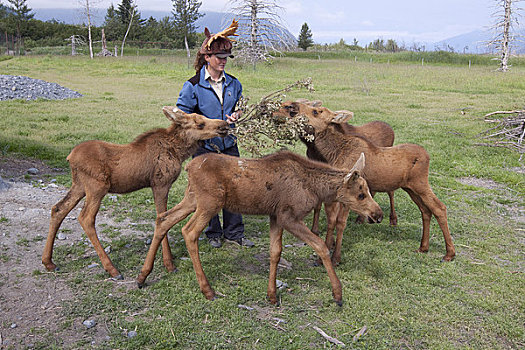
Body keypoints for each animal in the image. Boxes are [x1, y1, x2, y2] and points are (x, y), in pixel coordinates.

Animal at [42, 105, 228, 278]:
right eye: (200, 123)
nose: (224, 125)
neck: (178, 152)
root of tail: (70, 157)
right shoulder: (160, 184)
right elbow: (162, 218)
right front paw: (169, 264)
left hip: (79, 186)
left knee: (58, 208)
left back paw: (48, 262)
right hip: (96, 187)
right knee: (85, 218)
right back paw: (112, 269)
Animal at [135, 150, 380, 306]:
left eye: (367, 190)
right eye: (361, 194)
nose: (377, 214)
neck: (315, 188)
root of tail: (188, 167)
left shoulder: (275, 216)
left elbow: (275, 252)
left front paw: (271, 296)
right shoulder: (289, 216)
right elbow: (320, 246)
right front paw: (337, 293)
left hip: (192, 198)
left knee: (163, 219)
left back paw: (143, 276)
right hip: (209, 202)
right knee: (189, 232)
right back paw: (207, 290)